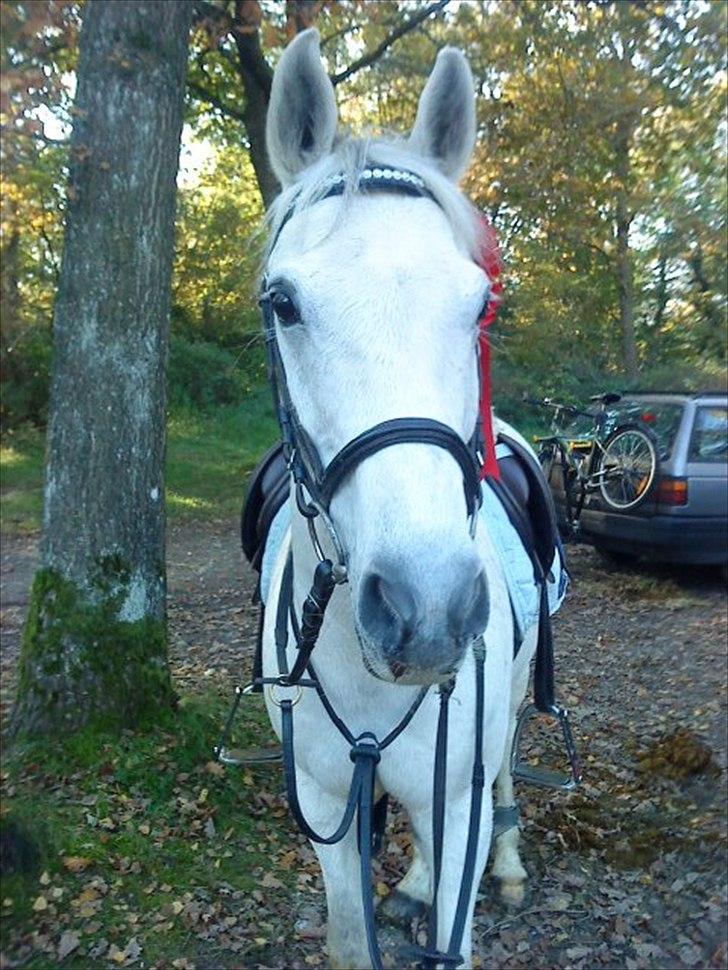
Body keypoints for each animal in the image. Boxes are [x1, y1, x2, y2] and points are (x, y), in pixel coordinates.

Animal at [262, 30, 536, 968]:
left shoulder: (459, 798)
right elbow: (352, 936)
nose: (428, 610)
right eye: (282, 303)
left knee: (507, 761)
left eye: (482, 303)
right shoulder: (323, 802)